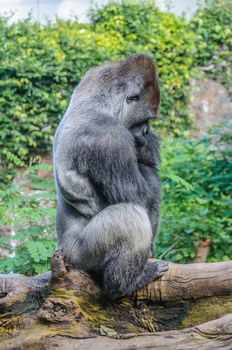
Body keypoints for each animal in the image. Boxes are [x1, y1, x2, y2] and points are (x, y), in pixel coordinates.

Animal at [53, 55, 168, 300]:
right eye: (145, 119)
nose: (146, 132)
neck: (97, 104)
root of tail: (62, 250)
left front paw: (148, 147)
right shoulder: (110, 137)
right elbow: (140, 198)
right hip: (78, 256)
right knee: (132, 218)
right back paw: (126, 286)